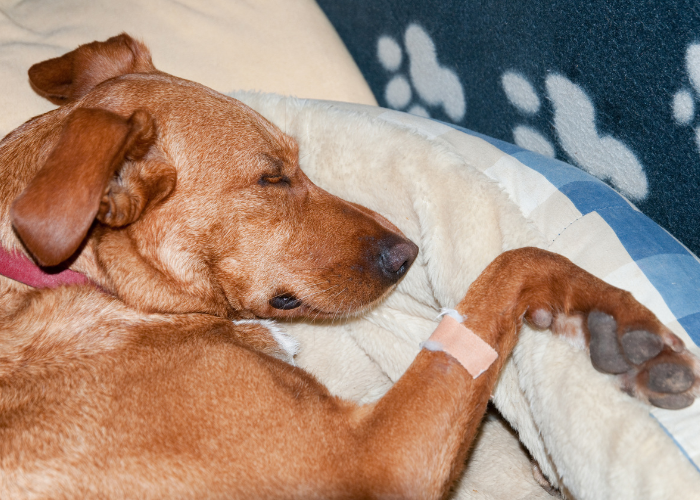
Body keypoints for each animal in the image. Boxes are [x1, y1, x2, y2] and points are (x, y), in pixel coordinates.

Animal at [0, 34, 698, 499]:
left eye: (296, 161)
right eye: (272, 178)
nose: (407, 252)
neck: (91, 285)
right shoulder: (373, 460)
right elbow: (512, 265)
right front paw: (628, 321)